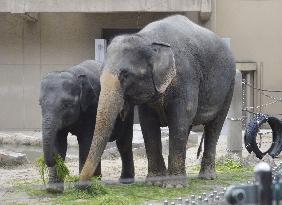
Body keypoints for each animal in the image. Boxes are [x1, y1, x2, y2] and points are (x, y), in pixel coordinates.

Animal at [38, 59, 134, 192]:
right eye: (40, 104)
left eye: (67, 104)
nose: (51, 160)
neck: (73, 73)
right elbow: (59, 141)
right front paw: (54, 190)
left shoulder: (93, 107)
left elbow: (86, 142)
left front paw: (82, 187)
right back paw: (98, 179)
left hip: (128, 111)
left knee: (123, 142)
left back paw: (125, 181)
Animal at [79, 15, 236, 188]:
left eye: (125, 75)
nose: (81, 184)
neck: (147, 39)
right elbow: (148, 123)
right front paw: (154, 183)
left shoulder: (185, 77)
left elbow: (181, 116)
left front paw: (174, 186)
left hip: (230, 86)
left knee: (214, 126)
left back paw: (207, 177)